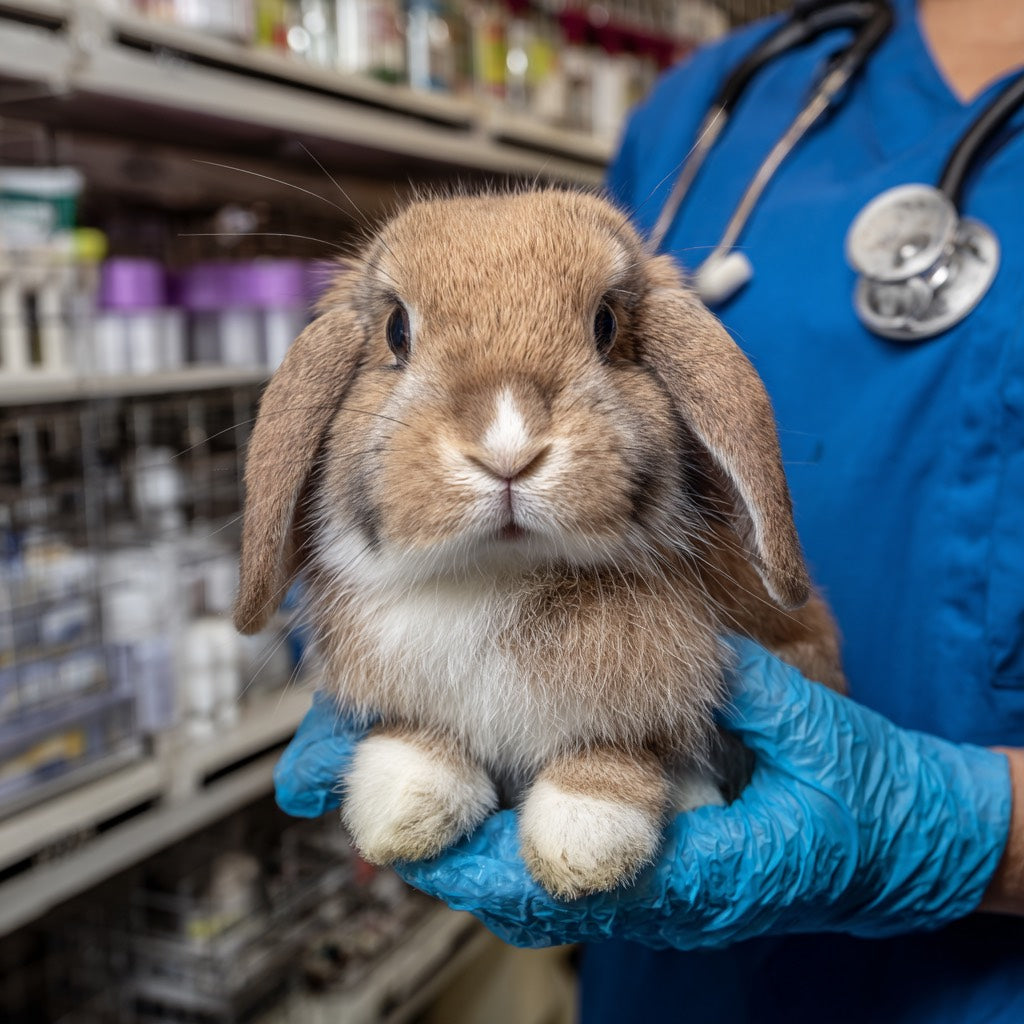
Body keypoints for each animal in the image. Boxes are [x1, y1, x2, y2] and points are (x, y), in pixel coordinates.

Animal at [233, 187, 845, 900]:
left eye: (606, 325)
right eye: (396, 331)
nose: (507, 446)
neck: (495, 575)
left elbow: (627, 749)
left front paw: (585, 839)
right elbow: (424, 738)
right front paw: (403, 801)